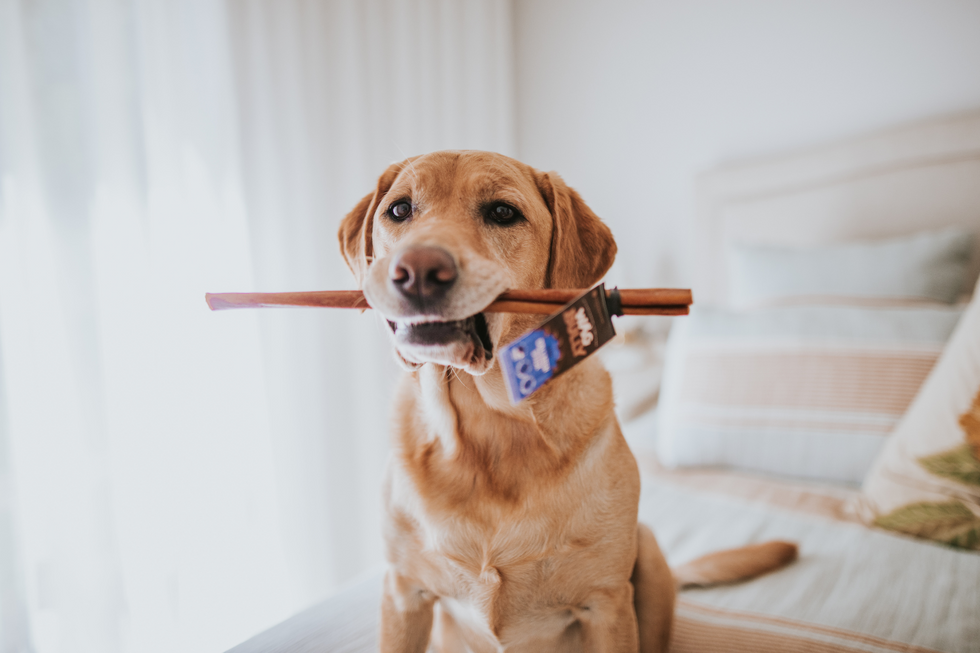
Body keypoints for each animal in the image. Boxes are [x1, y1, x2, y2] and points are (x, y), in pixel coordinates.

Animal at [336, 150, 796, 648]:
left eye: (503, 212)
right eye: (400, 210)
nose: (417, 270)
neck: (488, 426)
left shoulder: (607, 606)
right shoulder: (403, 594)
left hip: (649, 552)